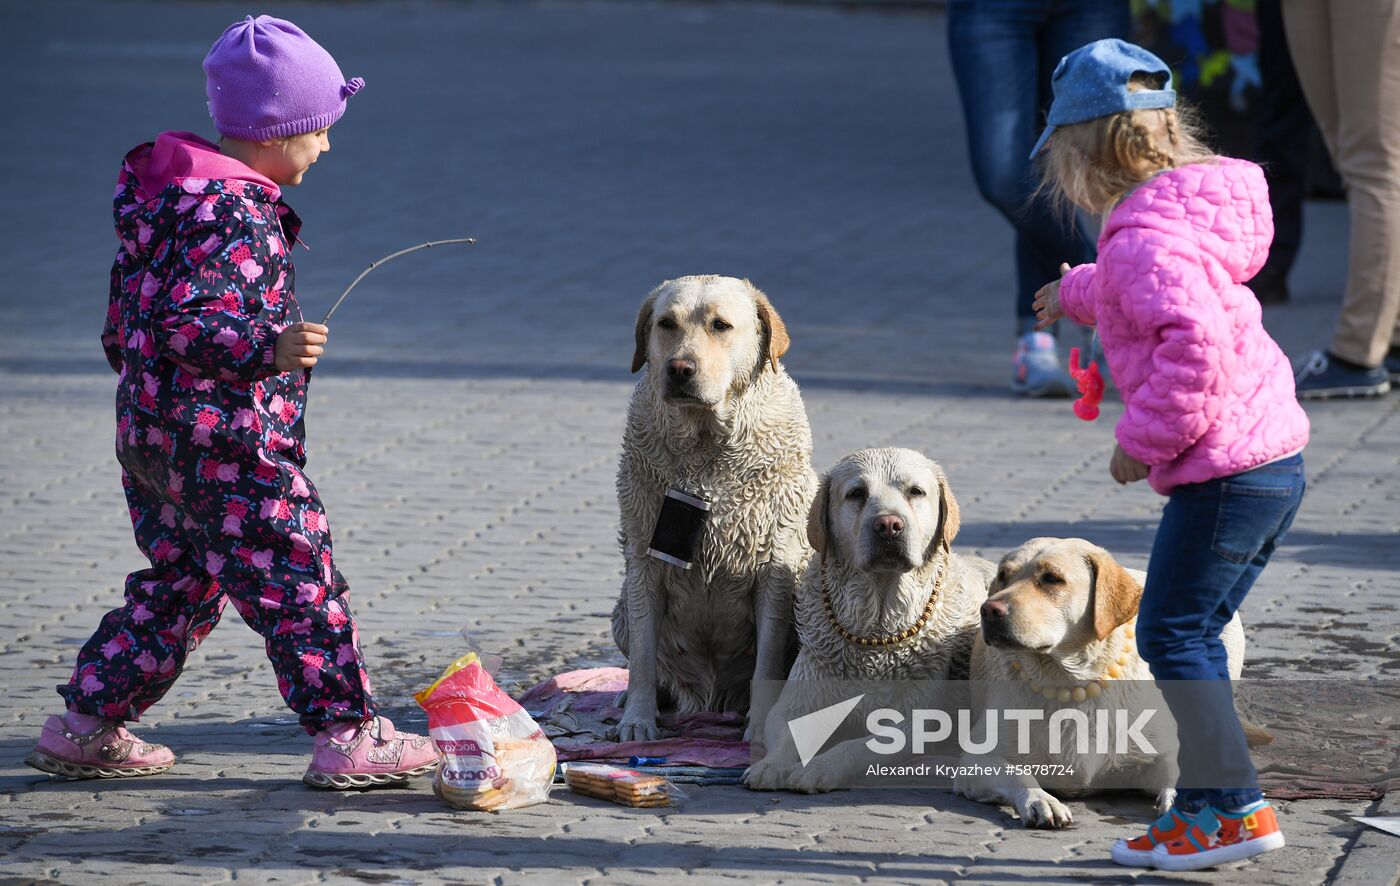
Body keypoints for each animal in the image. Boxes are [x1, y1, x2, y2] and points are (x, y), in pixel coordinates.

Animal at [607, 274, 817, 739]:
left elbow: (767, 663)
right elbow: (643, 660)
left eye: (720, 325)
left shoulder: (775, 567)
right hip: (621, 611)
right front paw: (638, 719)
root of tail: (711, 701)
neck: (706, 449)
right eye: (666, 324)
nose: (680, 369)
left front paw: (760, 729)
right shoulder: (643, 563)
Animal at [744, 445, 996, 789]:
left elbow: (857, 746)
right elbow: (788, 731)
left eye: (916, 491)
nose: (888, 525)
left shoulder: (917, 723)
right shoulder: (794, 701)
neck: (875, 628)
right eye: (856, 494)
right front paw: (770, 765)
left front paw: (819, 767)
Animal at [957, 534, 1265, 828]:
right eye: (1003, 576)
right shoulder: (976, 760)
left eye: (1051, 578)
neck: (1069, 681)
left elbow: (1176, 770)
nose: (989, 610)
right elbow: (1018, 774)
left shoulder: (1161, 751)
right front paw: (1040, 801)